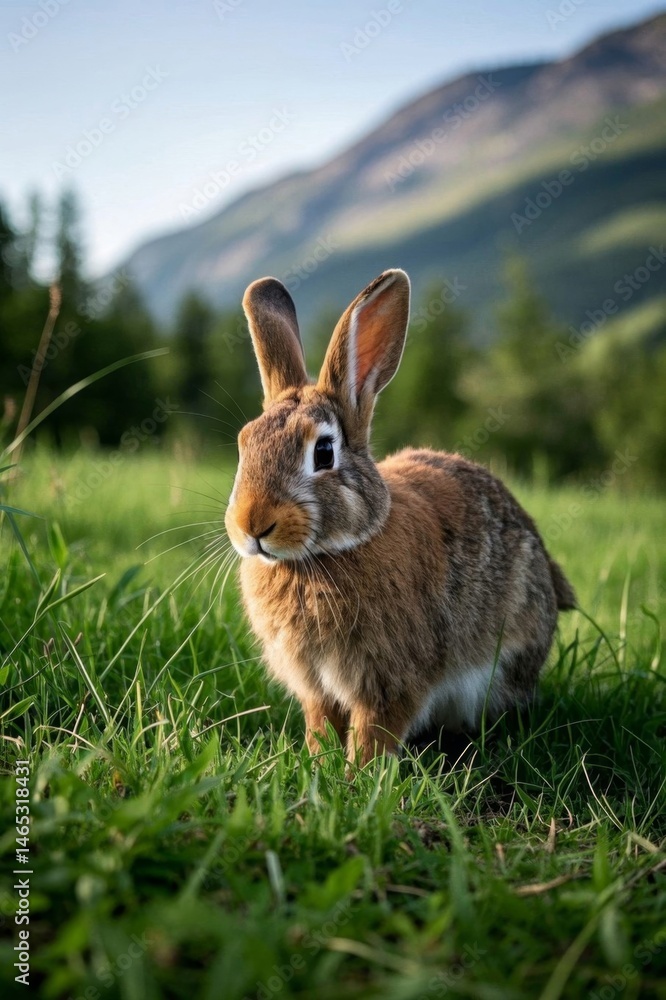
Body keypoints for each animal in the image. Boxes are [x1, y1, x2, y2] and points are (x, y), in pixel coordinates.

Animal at [225, 269, 576, 766]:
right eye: (244, 444)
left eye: (324, 452)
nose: (252, 526)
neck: (326, 555)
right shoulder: (316, 688)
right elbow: (320, 722)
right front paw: (318, 762)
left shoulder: (393, 681)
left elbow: (376, 730)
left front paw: (357, 773)